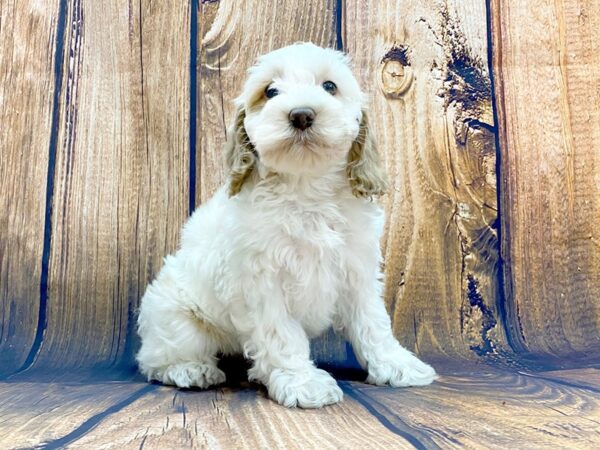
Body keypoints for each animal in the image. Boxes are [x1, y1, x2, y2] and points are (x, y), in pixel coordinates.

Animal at [136, 42, 436, 408]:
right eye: (270, 91)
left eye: (330, 86)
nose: (301, 114)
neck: (305, 187)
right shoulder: (261, 283)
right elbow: (282, 336)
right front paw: (302, 382)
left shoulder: (357, 272)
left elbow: (373, 323)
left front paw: (397, 364)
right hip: (177, 320)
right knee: (156, 359)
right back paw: (191, 370)